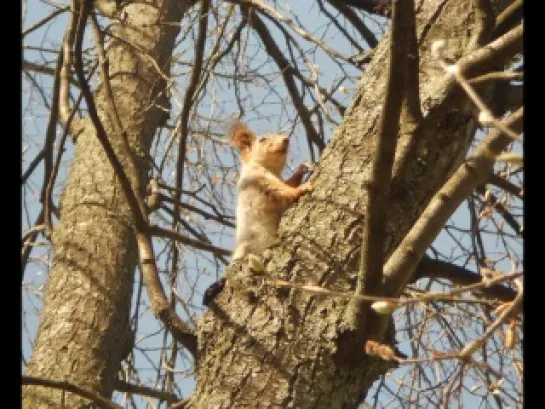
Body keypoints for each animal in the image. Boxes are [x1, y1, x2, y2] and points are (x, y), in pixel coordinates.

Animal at [202, 119, 312, 304]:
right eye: (262, 139)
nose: (286, 139)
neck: (269, 169)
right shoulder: (259, 183)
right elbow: (283, 191)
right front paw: (302, 188)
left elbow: (288, 183)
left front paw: (302, 169)